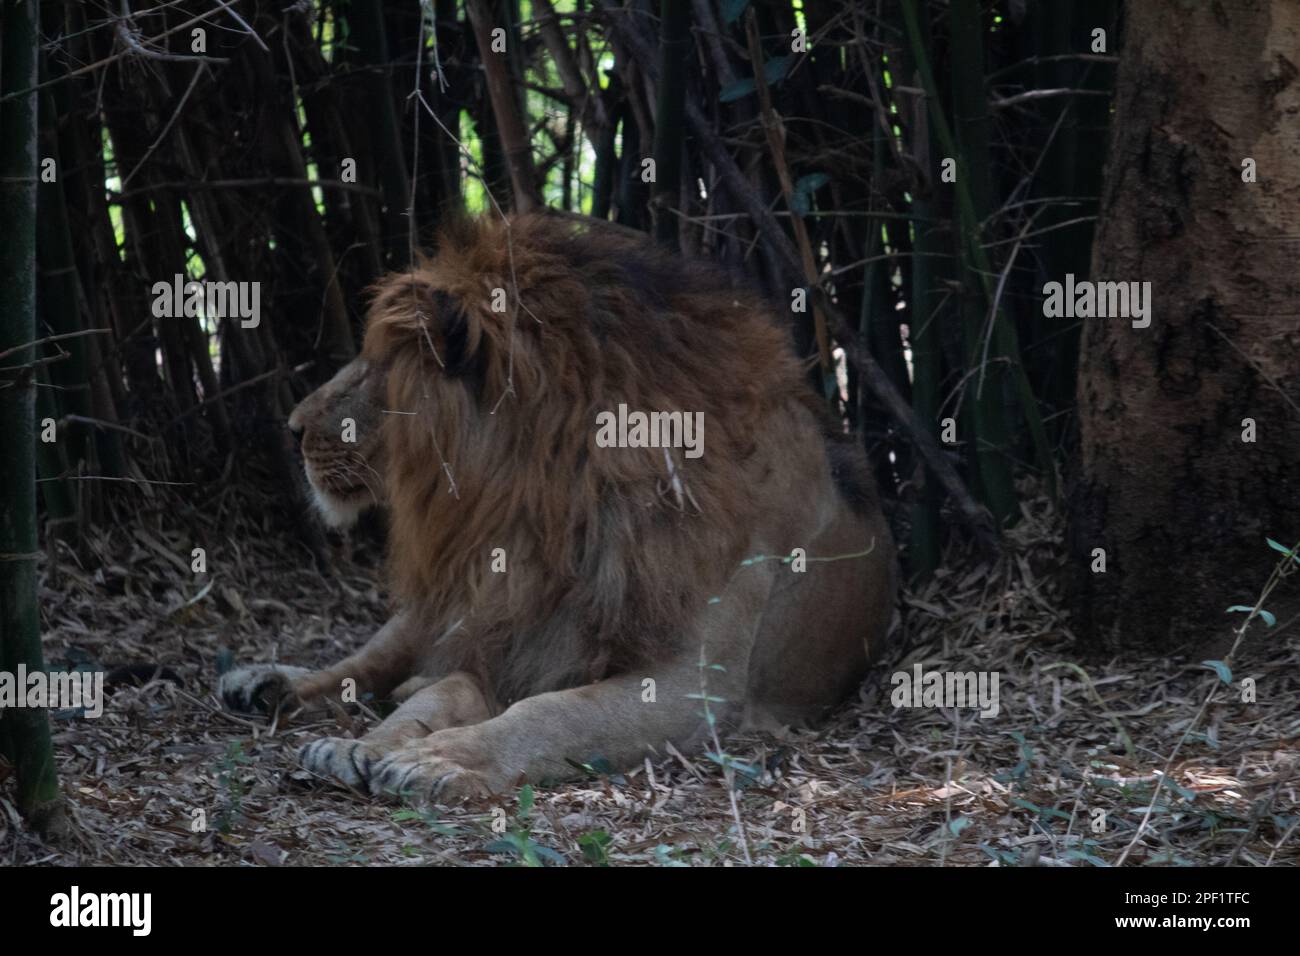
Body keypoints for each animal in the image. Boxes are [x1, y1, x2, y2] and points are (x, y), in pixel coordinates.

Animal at [218, 213, 899, 806]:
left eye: (376, 369)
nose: (292, 428)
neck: (551, 510)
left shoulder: (691, 684)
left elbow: (548, 713)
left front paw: (435, 759)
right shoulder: (508, 626)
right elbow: (437, 694)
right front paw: (360, 747)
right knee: (370, 659)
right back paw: (266, 685)